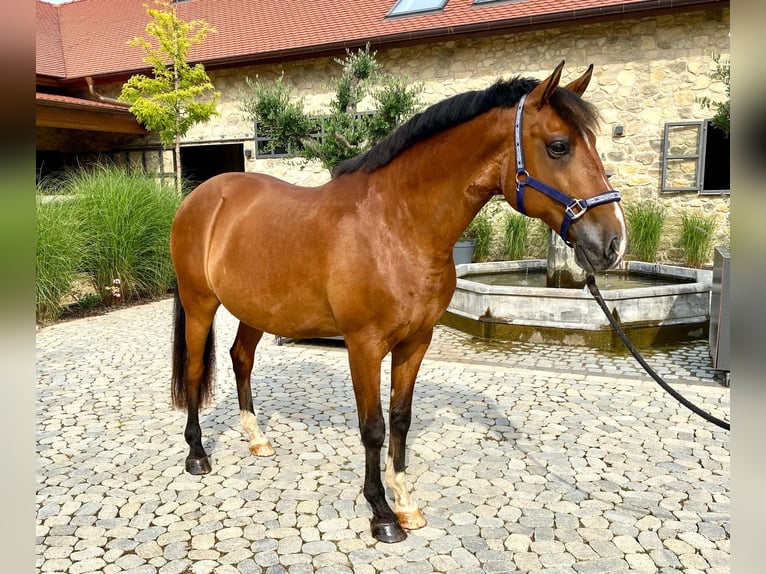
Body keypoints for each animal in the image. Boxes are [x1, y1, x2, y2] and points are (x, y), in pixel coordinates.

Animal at [169, 61, 627, 543]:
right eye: (559, 147)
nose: (613, 242)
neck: (398, 224)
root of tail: (202, 196)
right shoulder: (364, 346)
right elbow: (373, 427)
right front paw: (382, 514)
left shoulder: (416, 341)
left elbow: (401, 418)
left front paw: (405, 502)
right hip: (200, 304)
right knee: (196, 369)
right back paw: (197, 455)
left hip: (255, 309)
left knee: (241, 359)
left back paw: (257, 439)